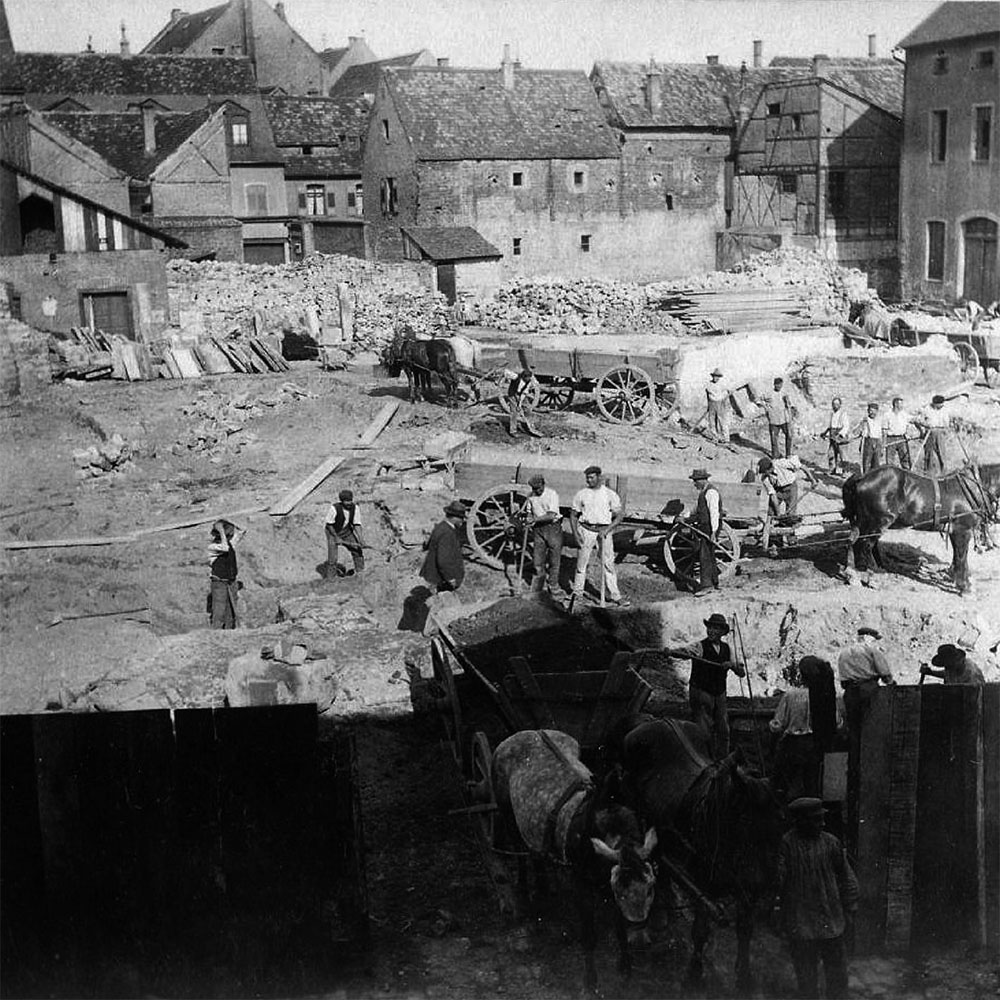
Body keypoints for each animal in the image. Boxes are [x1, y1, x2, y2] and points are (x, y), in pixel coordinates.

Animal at [490, 732, 656, 996]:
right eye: (621, 889)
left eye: (650, 888)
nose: (639, 926)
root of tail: (527, 732)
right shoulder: (581, 883)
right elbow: (589, 935)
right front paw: (590, 981)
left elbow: (618, 925)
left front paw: (625, 967)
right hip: (508, 815)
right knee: (520, 853)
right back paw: (524, 899)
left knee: (536, 853)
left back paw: (544, 889)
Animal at [608, 720, 788, 992]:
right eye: (744, 821)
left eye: (780, 820)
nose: (766, 881)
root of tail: (659, 719)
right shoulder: (704, 886)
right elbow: (701, 930)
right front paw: (694, 973)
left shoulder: (746, 887)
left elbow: (745, 928)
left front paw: (744, 975)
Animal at [844, 462, 1000, 592]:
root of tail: (861, 478)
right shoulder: (962, 530)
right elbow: (961, 557)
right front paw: (965, 587)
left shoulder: (954, 531)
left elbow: (958, 556)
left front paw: (958, 579)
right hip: (879, 521)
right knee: (864, 546)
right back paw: (870, 577)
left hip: (865, 522)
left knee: (854, 542)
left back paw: (854, 573)